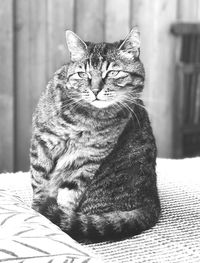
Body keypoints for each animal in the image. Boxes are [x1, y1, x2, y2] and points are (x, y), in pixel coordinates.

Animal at [30, 27, 161, 243]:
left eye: (113, 72)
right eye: (82, 74)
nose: (95, 90)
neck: (87, 117)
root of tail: (152, 202)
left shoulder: (88, 159)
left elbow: (68, 196)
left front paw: (58, 222)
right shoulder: (43, 144)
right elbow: (39, 183)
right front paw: (38, 212)